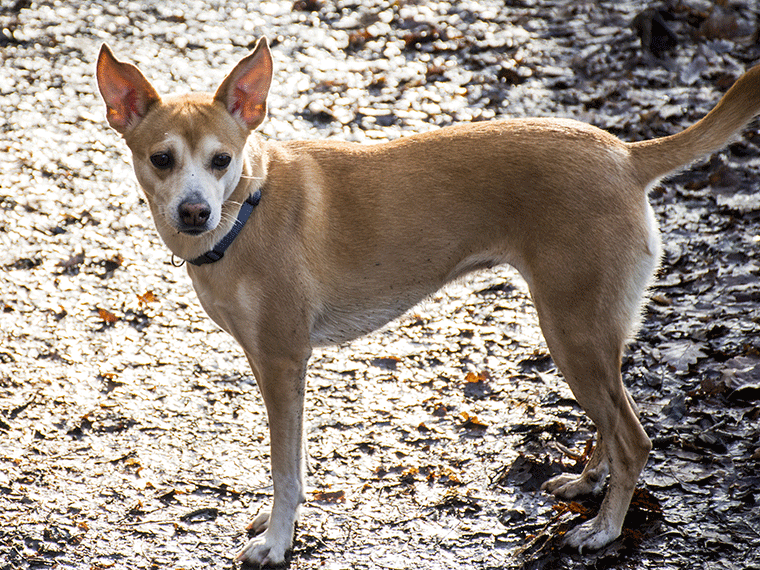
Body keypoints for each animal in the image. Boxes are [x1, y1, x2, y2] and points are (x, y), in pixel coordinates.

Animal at [96, 40, 760, 564]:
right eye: (161, 159)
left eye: (220, 160)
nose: (193, 211)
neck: (245, 207)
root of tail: (625, 155)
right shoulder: (275, 366)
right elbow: (295, 461)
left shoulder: (283, 362)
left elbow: (286, 467)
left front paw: (278, 541)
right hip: (590, 338)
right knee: (611, 424)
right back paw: (588, 483)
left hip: (572, 333)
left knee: (634, 439)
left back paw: (603, 532)